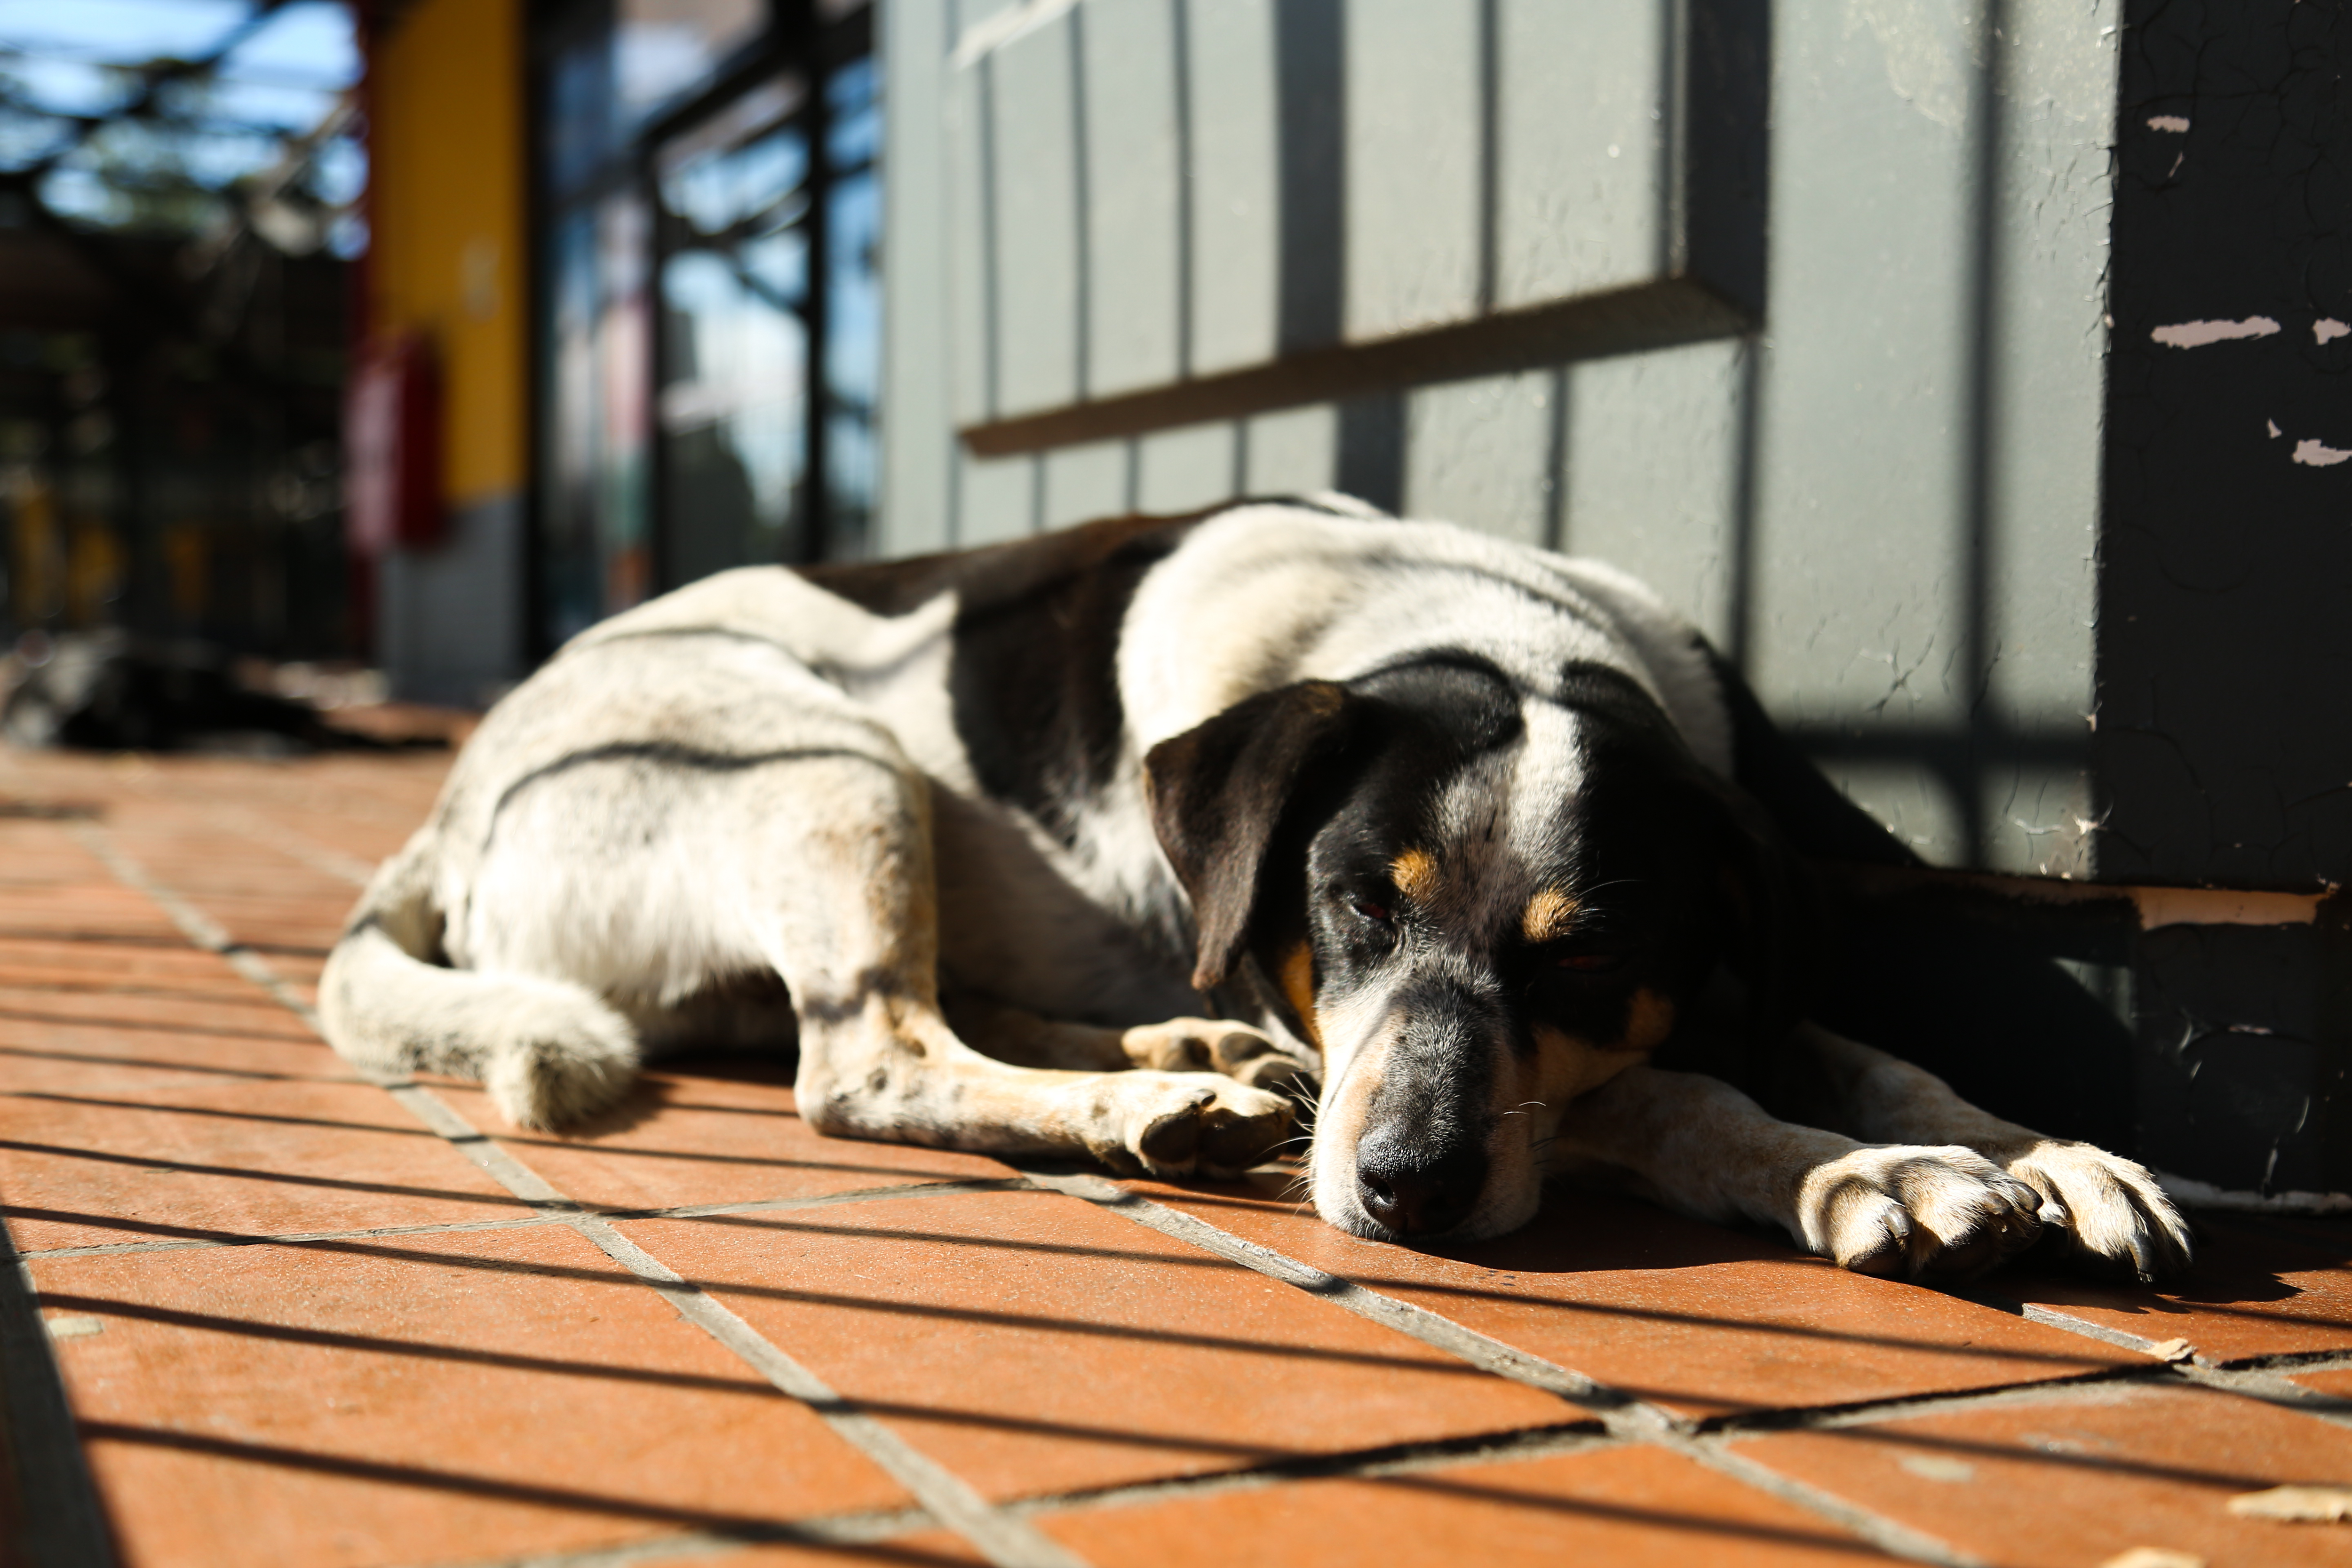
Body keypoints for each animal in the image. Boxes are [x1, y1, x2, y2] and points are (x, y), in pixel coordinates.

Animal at [322, 503, 2192, 1288]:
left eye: (1591, 951)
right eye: (1350, 901)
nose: (1405, 1191)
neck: (1454, 619)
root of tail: (453, 804)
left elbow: (1866, 1048)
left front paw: (2041, 1150)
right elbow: (1681, 1097)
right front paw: (1857, 1172)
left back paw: (1180, 1064)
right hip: (818, 763)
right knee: (864, 1062)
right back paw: (1149, 1105)